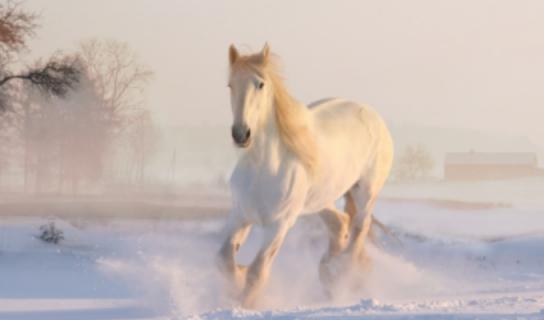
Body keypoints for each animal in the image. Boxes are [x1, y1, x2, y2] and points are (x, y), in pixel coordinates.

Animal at [218, 43, 396, 306]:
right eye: (231, 85)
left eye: (260, 84)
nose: (241, 134)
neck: (263, 168)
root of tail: (371, 114)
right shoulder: (240, 215)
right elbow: (224, 260)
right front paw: (237, 279)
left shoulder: (279, 225)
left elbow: (257, 272)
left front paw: (245, 303)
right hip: (321, 199)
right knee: (340, 223)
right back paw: (329, 272)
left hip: (366, 191)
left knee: (359, 228)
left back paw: (342, 274)